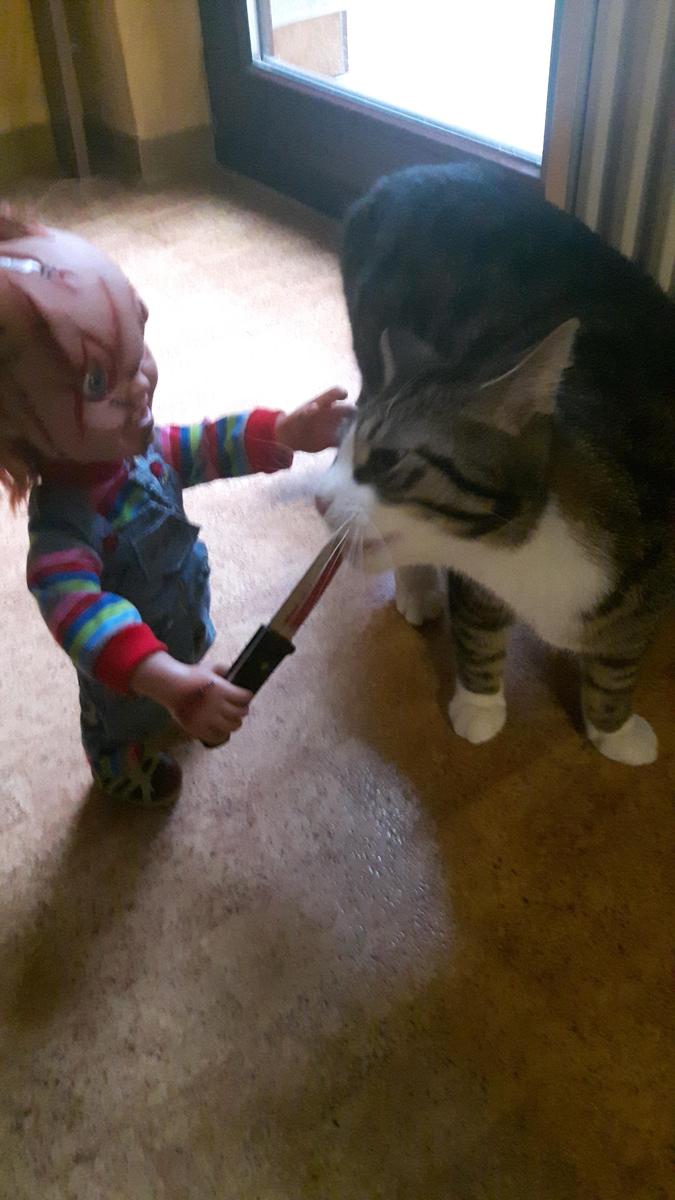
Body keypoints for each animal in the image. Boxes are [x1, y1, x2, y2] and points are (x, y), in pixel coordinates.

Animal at [316, 162, 675, 766]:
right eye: (344, 454)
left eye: (388, 460)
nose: (319, 500)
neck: (533, 555)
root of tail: (405, 173)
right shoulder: (478, 580)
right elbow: (478, 631)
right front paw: (480, 705)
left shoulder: (649, 585)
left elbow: (619, 659)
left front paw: (614, 729)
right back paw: (417, 589)